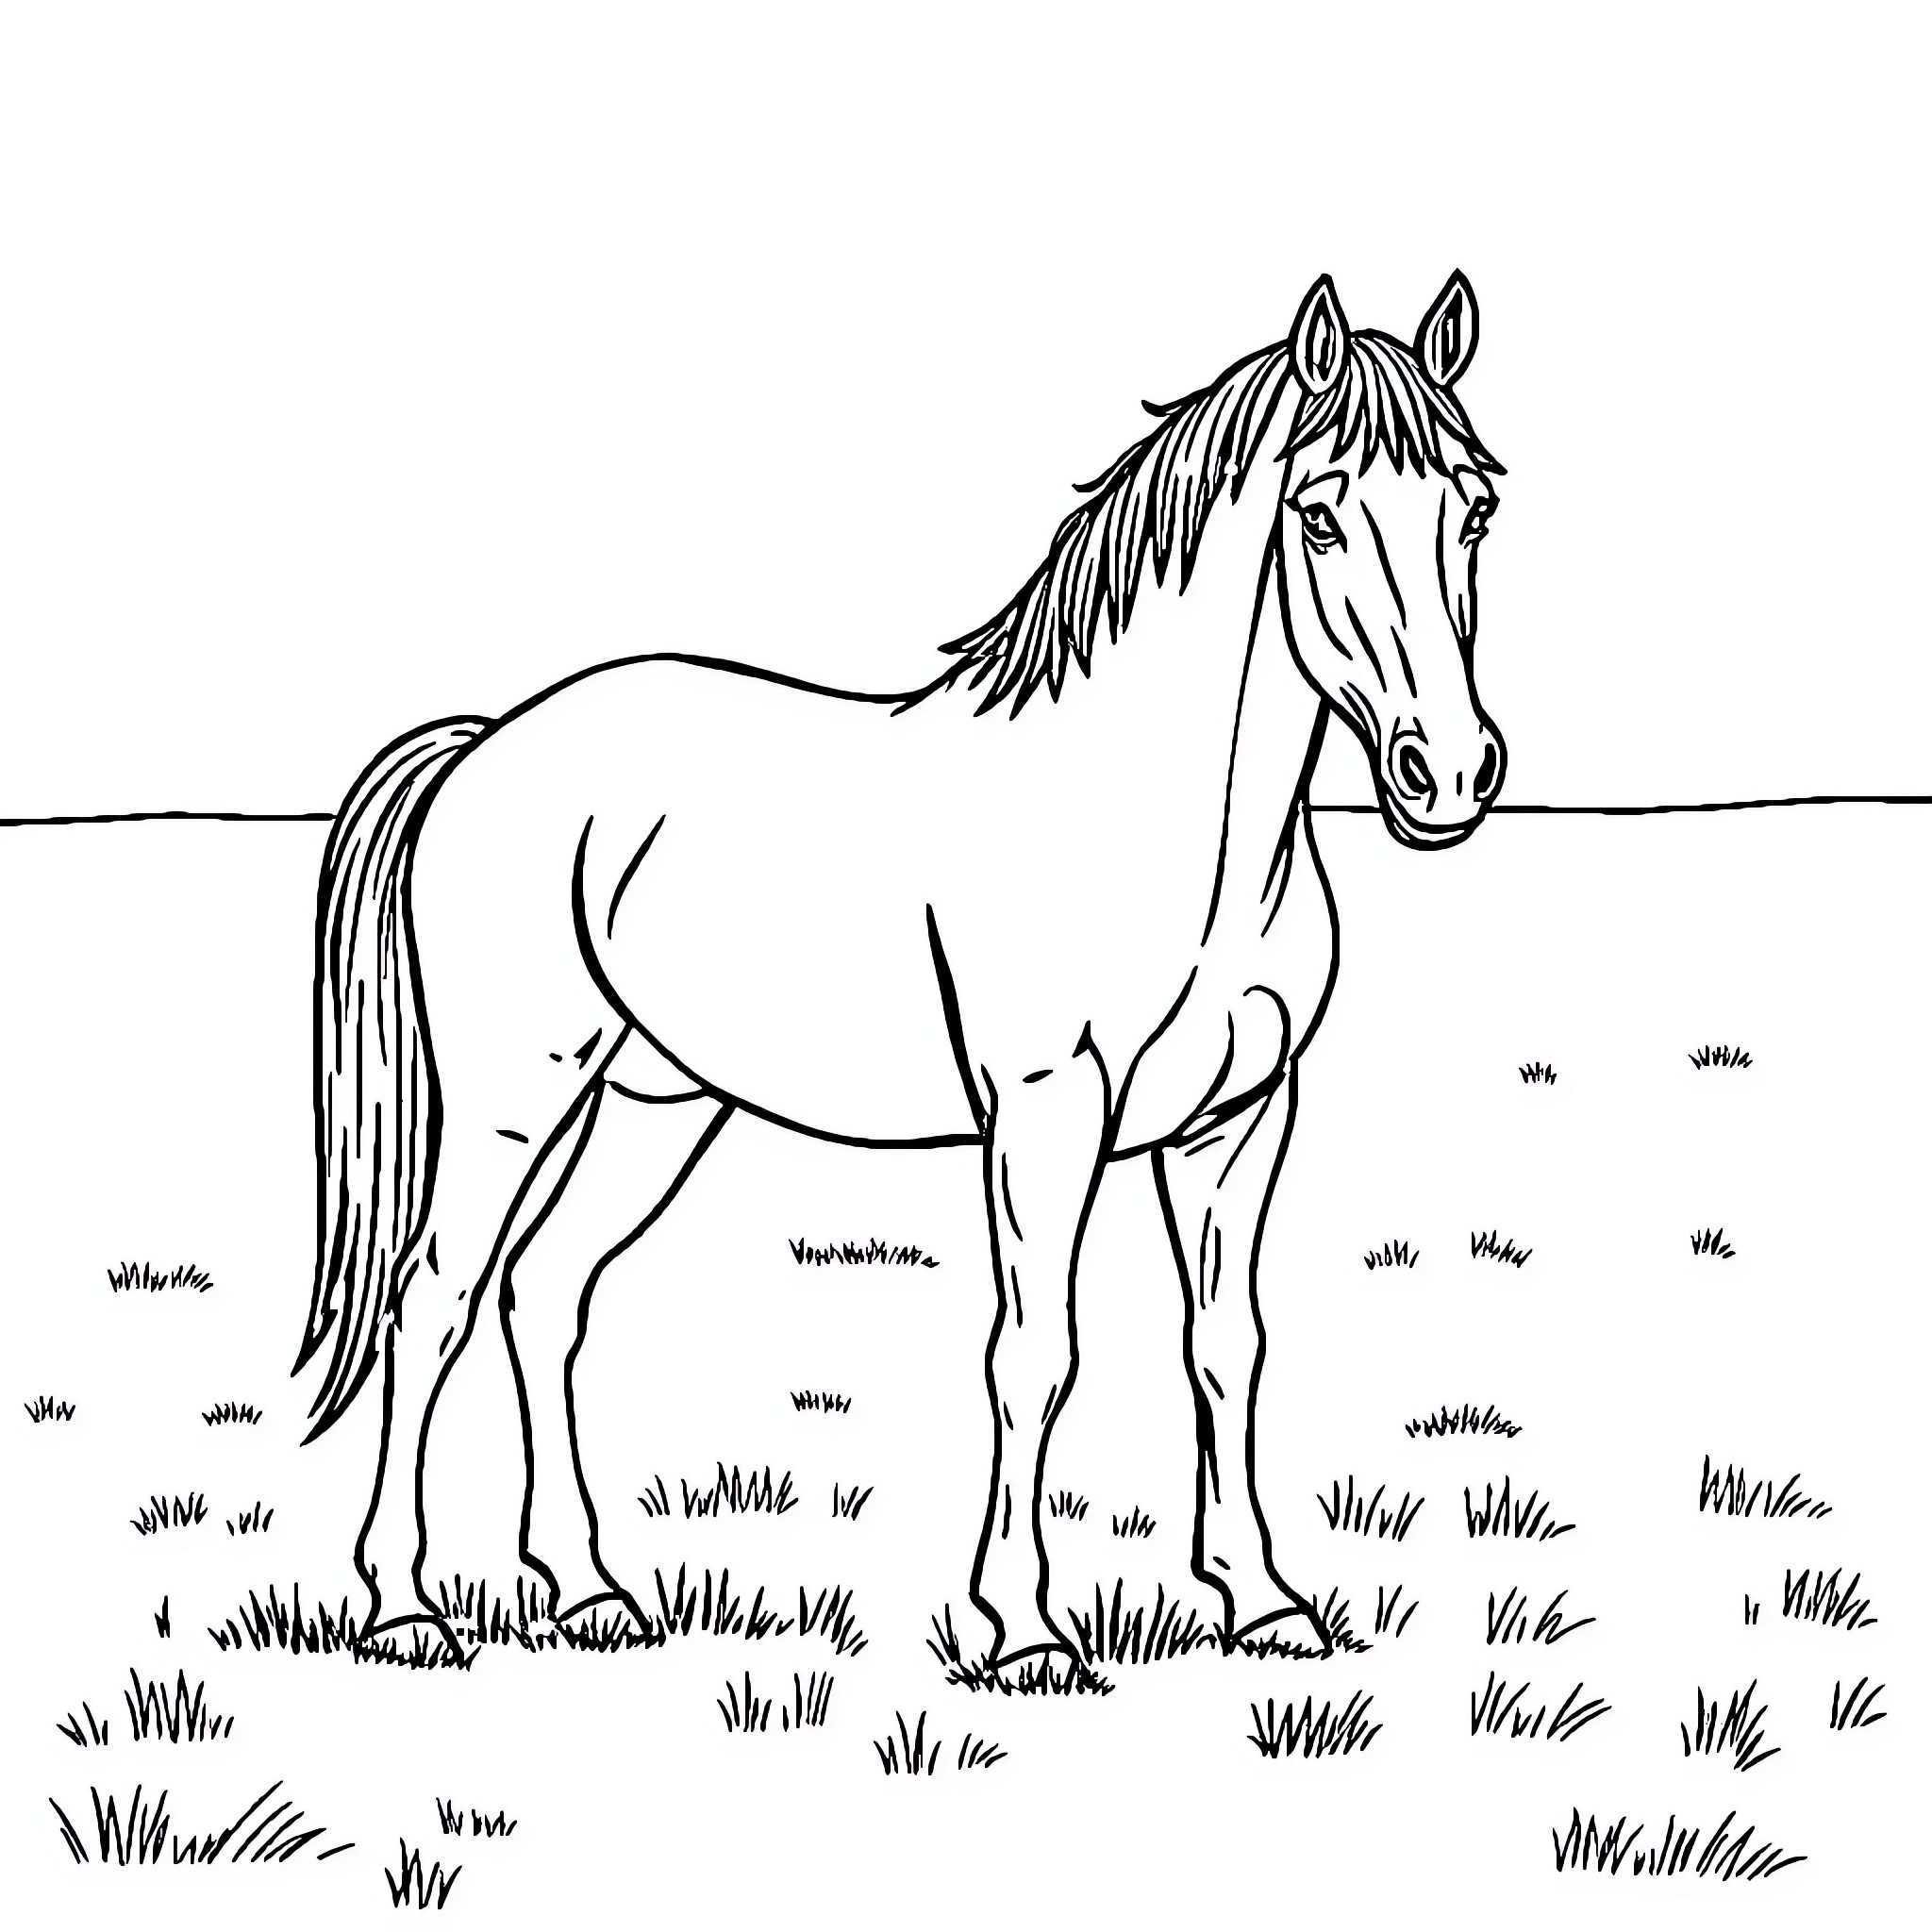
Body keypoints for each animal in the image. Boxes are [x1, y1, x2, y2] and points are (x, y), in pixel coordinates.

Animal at [296, 272, 1509, 1667]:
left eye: (1474, 509)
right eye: (1319, 515)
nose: (1450, 772)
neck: (1177, 834)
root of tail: (488, 742)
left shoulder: (1241, 1122)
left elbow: (1225, 1348)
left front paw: (1261, 1600)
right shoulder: (1046, 1114)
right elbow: (1035, 1354)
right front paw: (1023, 1625)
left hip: (659, 1100)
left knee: (544, 1295)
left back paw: (594, 1589)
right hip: (517, 1089)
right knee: (432, 1296)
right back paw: (402, 1602)